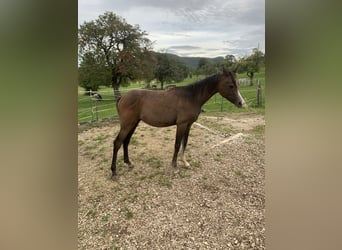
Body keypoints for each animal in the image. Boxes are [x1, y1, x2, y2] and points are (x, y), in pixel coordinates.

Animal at [111, 67, 244, 179]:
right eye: (230, 85)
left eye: (238, 84)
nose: (241, 103)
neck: (191, 97)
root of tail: (122, 97)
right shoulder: (181, 124)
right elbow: (177, 144)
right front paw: (174, 167)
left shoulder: (188, 125)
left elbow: (185, 143)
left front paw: (185, 163)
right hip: (127, 125)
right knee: (117, 143)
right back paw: (114, 172)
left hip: (133, 124)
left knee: (126, 142)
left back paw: (129, 163)